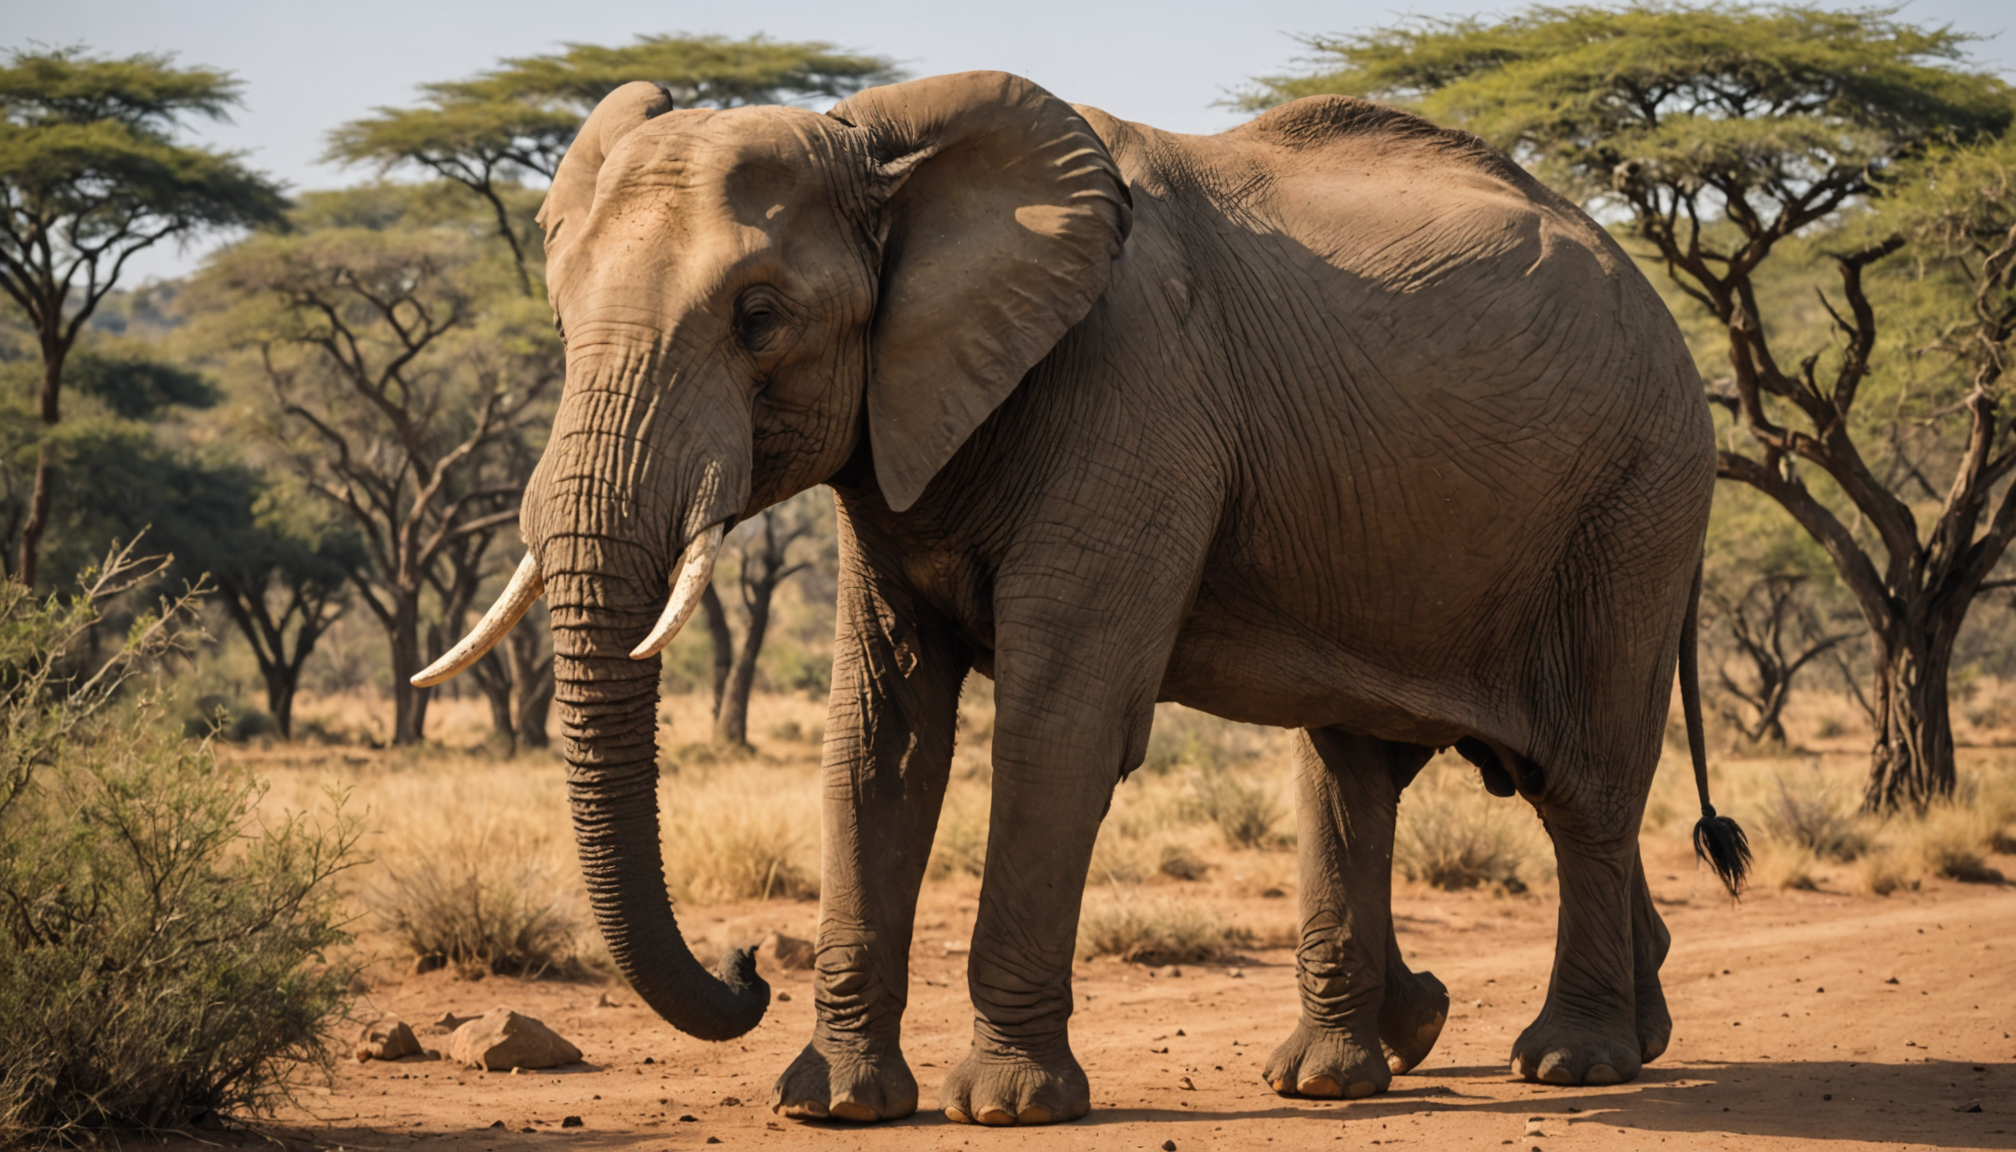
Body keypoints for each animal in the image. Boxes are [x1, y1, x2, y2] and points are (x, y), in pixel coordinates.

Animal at [415, 70, 1748, 1126]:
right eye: (559, 316)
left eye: (759, 319)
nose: (746, 961)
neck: (881, 149)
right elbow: (880, 739)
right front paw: (834, 1105)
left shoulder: (1134, 402)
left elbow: (1056, 723)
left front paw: (1007, 1106)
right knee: (1353, 778)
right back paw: (1361, 1065)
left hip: (1635, 503)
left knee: (1581, 784)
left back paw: (1570, 1064)